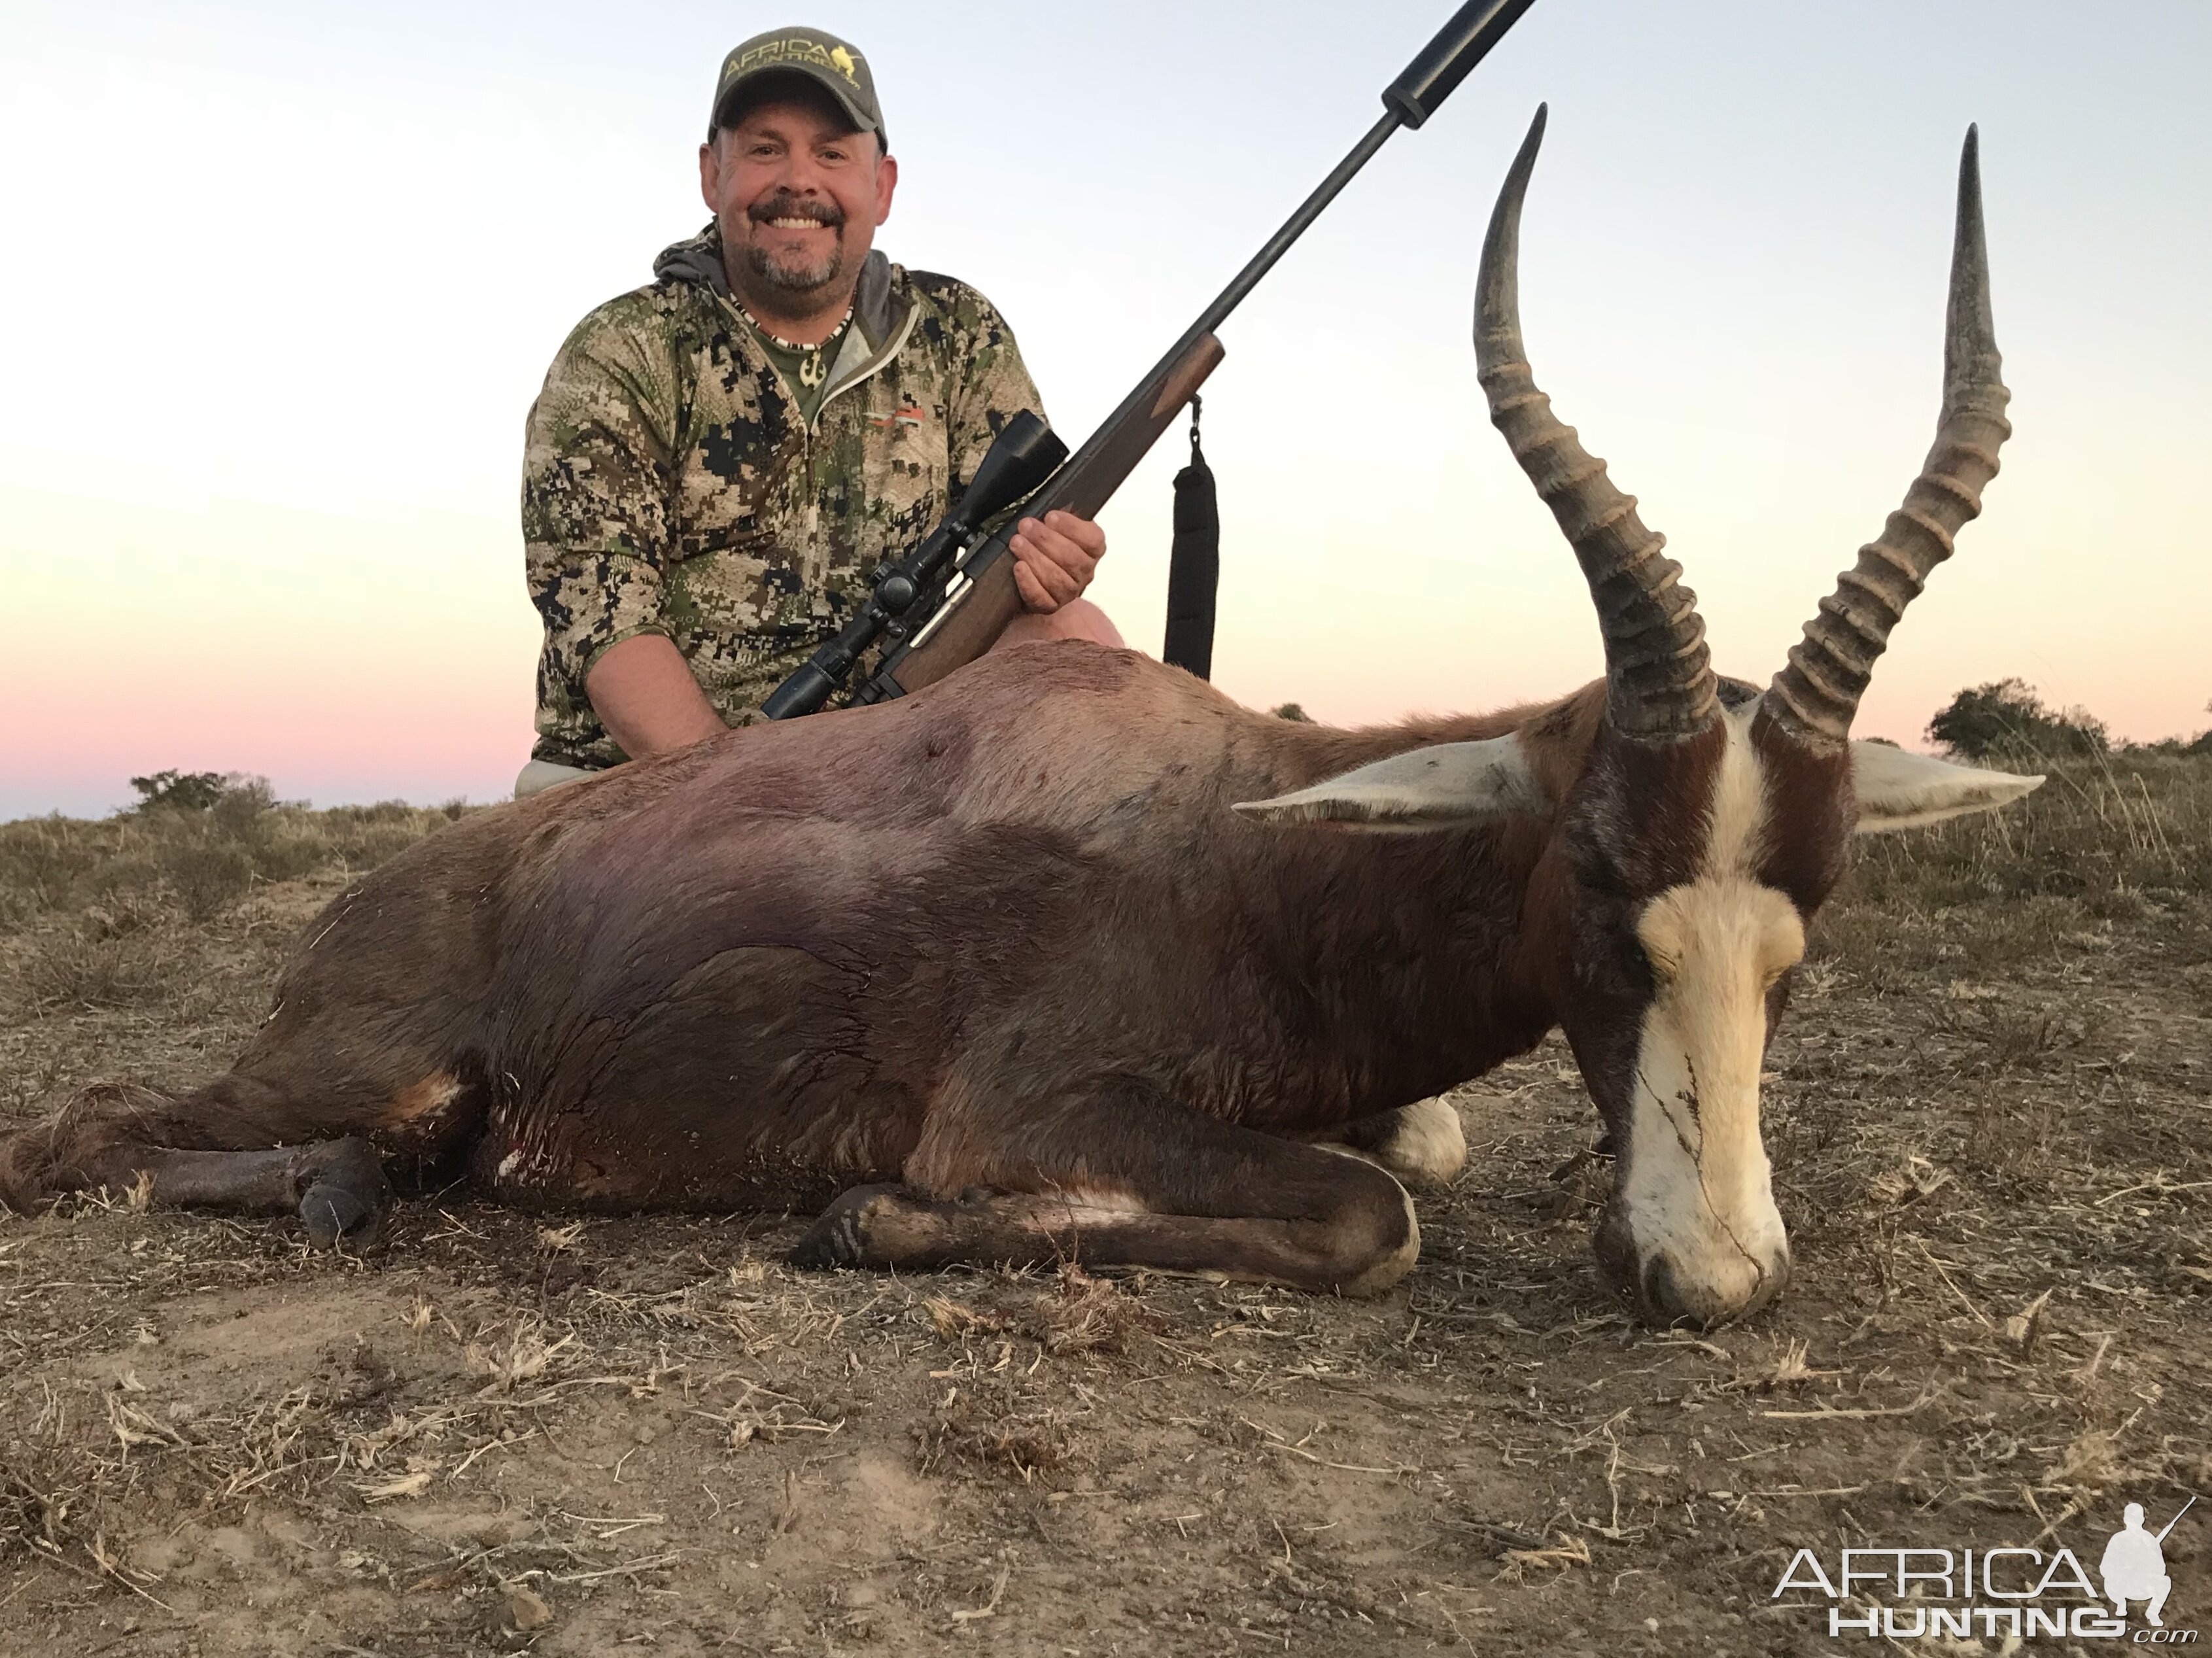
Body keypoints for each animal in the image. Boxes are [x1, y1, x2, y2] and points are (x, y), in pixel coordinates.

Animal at [0, 111, 2035, 1335]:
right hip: (376, 1072)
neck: (1240, 839)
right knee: (83, 1129)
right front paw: (861, 1219)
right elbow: (1371, 1215)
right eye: (1605, 898)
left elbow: (1424, 1154)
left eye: (1802, 937)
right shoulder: (1025, 1102)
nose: (1712, 1274)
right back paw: (343, 1182)